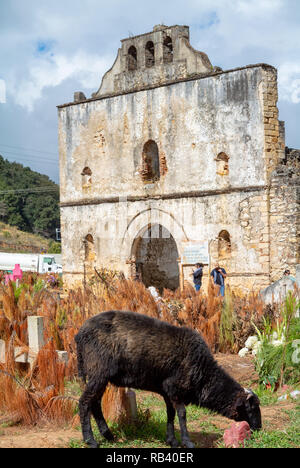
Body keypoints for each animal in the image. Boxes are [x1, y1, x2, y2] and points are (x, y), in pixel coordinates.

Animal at [74, 308, 260, 448]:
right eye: (251, 407)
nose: (259, 428)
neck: (204, 376)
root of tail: (79, 334)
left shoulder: (167, 390)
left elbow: (170, 413)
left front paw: (172, 440)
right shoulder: (175, 388)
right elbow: (182, 414)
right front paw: (187, 442)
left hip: (100, 376)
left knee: (95, 403)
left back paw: (108, 435)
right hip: (98, 371)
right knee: (84, 403)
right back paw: (90, 440)